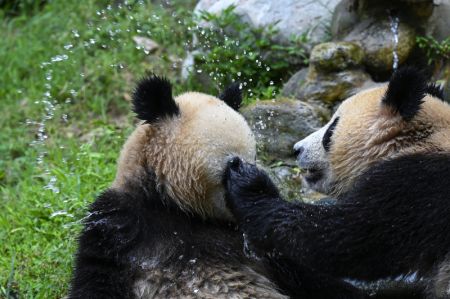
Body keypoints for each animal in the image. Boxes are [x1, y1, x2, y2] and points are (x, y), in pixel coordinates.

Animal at [224, 68, 450, 299]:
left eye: (331, 129)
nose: (297, 149)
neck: (416, 141)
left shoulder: (420, 185)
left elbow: (342, 238)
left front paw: (248, 184)